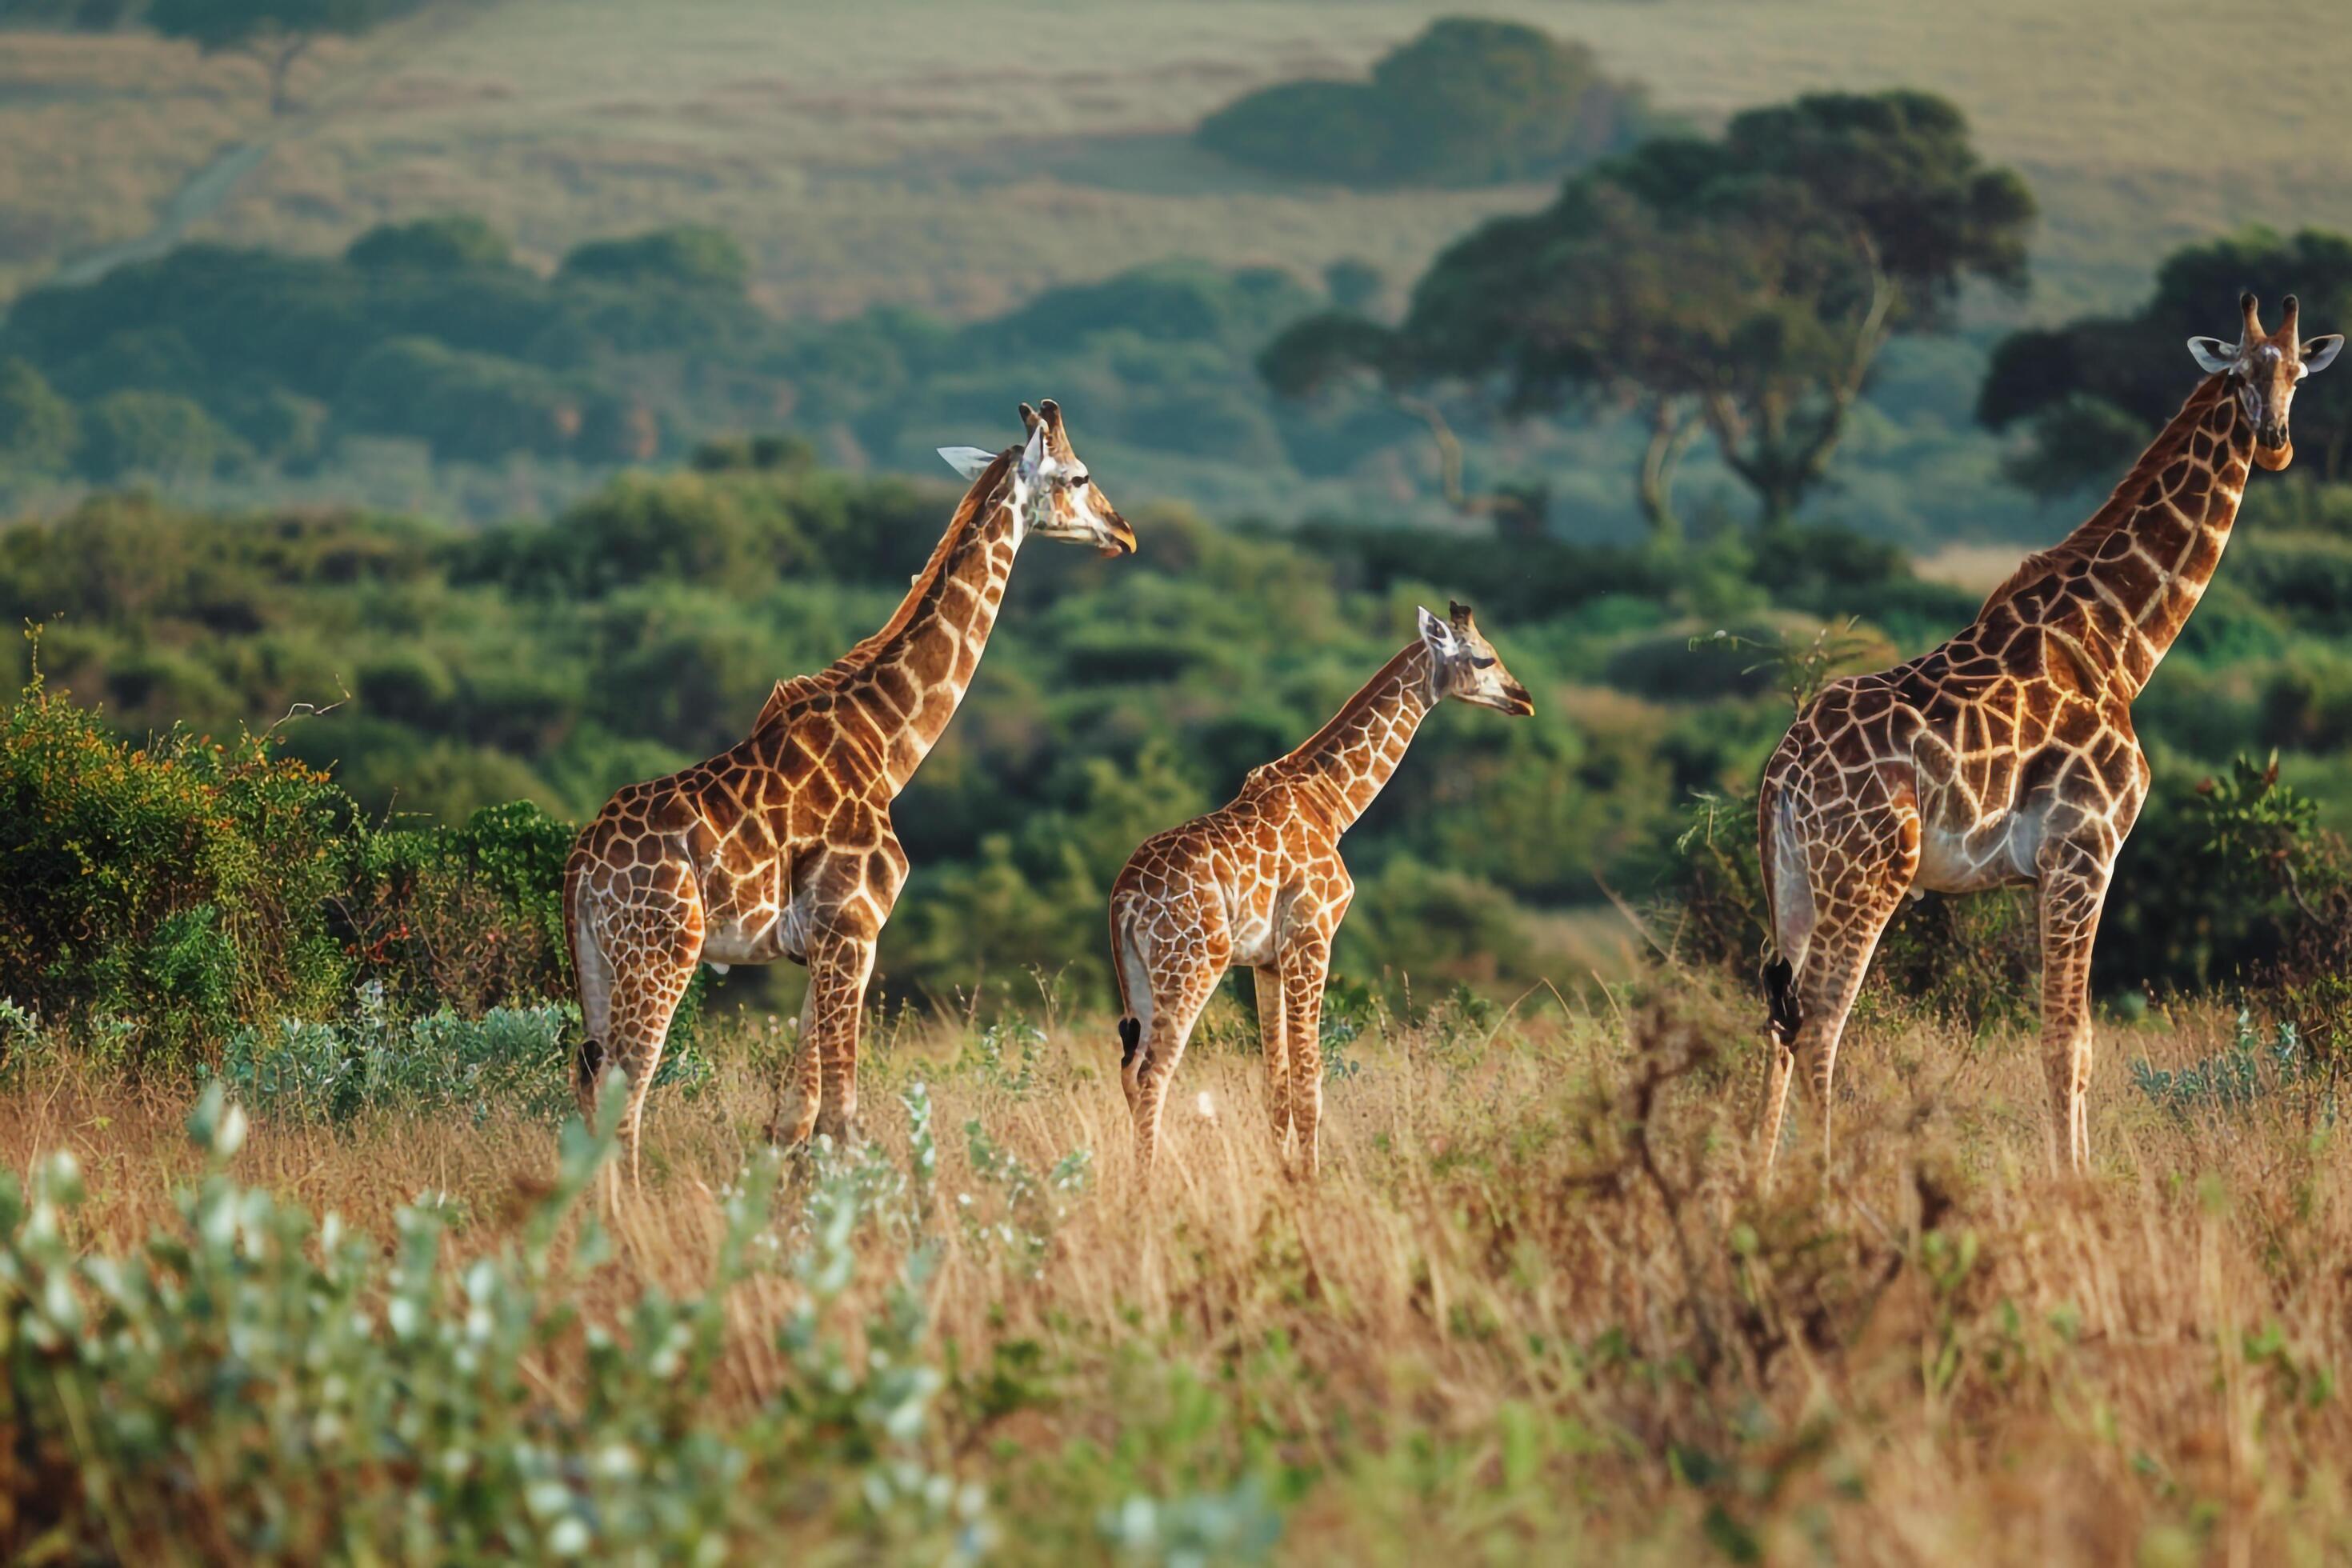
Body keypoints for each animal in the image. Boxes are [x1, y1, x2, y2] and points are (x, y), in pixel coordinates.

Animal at [559, 402, 1129, 1175]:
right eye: (1078, 476)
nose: (1124, 532)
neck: (887, 745)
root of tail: (581, 865)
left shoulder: (821, 946)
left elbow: (792, 1124)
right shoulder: (854, 931)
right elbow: (842, 1121)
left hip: (598, 961)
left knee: (588, 1079)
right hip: (661, 951)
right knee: (627, 1094)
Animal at [1110, 602, 1533, 1175]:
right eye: (1484, 657)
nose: (1523, 698)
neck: (1331, 802)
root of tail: (1125, 899)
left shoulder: (1266, 961)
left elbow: (1276, 1085)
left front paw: (1283, 1177)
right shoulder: (1311, 938)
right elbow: (1310, 1080)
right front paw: (1311, 1181)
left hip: (1138, 973)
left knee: (1131, 1072)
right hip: (1193, 963)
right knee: (1154, 1073)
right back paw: (1148, 1188)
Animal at [1759, 291, 2342, 1175]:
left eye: (2299, 376)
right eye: (2240, 374)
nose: (2274, 442)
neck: (2120, 640)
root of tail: (1782, 775)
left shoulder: (2042, 872)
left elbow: (2080, 1040)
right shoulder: (2085, 850)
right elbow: (2067, 1040)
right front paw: (2077, 1186)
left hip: (1796, 876)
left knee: (1775, 1022)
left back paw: (1746, 1181)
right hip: (1868, 873)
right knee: (1821, 1020)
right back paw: (1825, 1185)